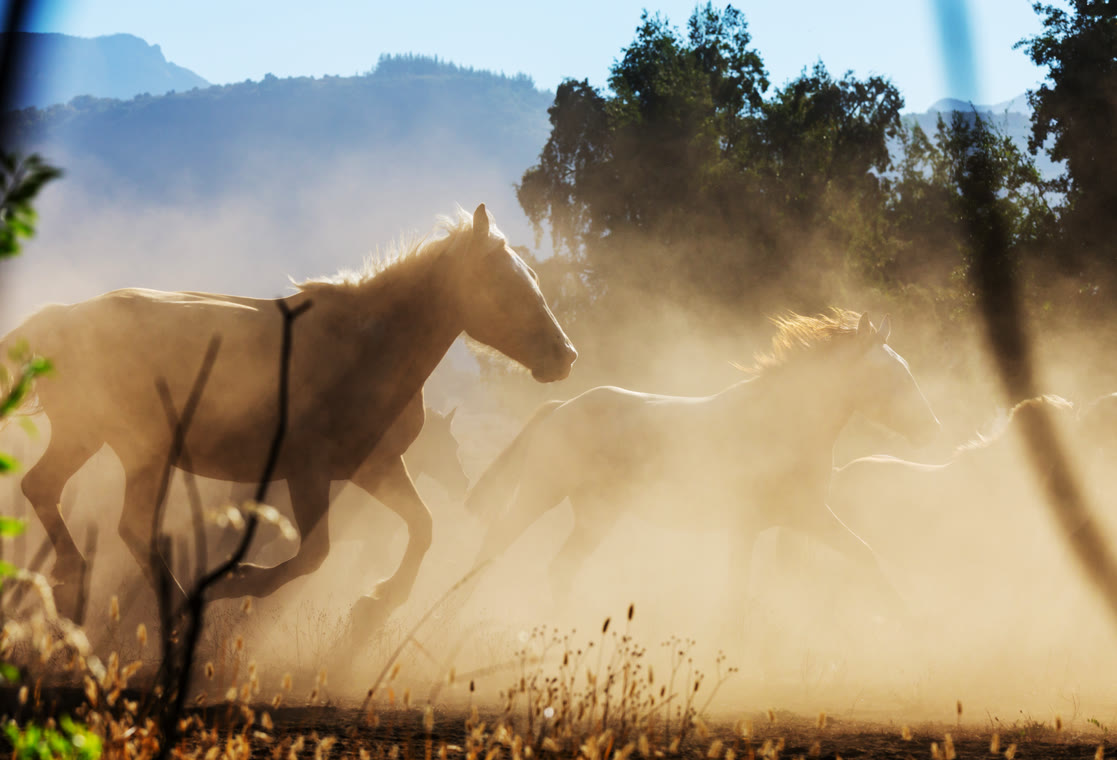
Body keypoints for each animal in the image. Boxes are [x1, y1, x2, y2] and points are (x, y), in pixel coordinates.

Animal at [1, 203, 576, 621]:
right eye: (504, 284)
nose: (566, 355)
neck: (365, 349)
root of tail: (59, 321)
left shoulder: (376, 467)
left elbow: (423, 525)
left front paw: (381, 597)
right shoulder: (307, 472)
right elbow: (314, 553)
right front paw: (240, 580)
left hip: (101, 442)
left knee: (50, 491)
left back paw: (77, 577)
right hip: (132, 448)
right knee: (120, 522)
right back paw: (171, 598)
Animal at [464, 310, 940, 625]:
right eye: (891, 377)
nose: (933, 428)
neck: (781, 424)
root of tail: (561, 407)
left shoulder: (804, 518)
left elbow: (865, 555)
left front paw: (912, 624)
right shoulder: (756, 523)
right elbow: (736, 593)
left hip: (597, 515)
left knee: (560, 568)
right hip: (542, 492)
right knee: (494, 544)